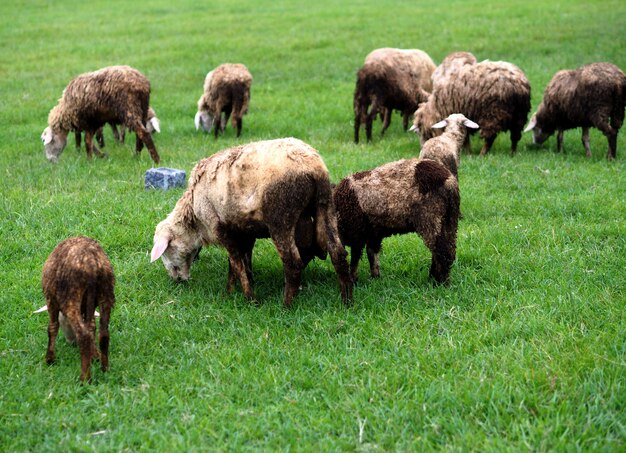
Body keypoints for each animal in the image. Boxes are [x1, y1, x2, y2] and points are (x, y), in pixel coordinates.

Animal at [41, 237, 114, 382]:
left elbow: (52, 327)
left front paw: (50, 360)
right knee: (103, 334)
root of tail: (92, 261)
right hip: (106, 292)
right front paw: (94, 356)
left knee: (83, 334)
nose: (71, 342)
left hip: (70, 296)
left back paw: (84, 378)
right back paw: (105, 369)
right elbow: (92, 327)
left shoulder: (51, 300)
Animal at [150, 137, 352, 308]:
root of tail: (312, 166)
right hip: (325, 205)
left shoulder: (220, 228)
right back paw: (347, 302)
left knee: (293, 263)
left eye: (166, 250)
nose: (177, 280)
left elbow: (236, 261)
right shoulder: (243, 230)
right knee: (338, 253)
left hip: (281, 217)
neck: (195, 220)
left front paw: (249, 299)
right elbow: (239, 262)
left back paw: (286, 306)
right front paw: (231, 291)